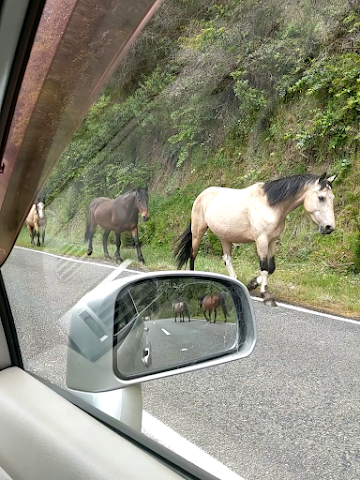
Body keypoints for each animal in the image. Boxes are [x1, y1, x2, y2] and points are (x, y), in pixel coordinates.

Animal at [175, 173, 338, 308]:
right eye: (321, 197)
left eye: (332, 198)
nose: (329, 227)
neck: (270, 205)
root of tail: (202, 194)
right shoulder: (262, 241)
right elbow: (264, 267)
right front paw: (266, 295)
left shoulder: (272, 241)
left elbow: (271, 268)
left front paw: (252, 284)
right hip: (198, 232)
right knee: (193, 255)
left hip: (225, 237)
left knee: (226, 258)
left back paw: (235, 280)